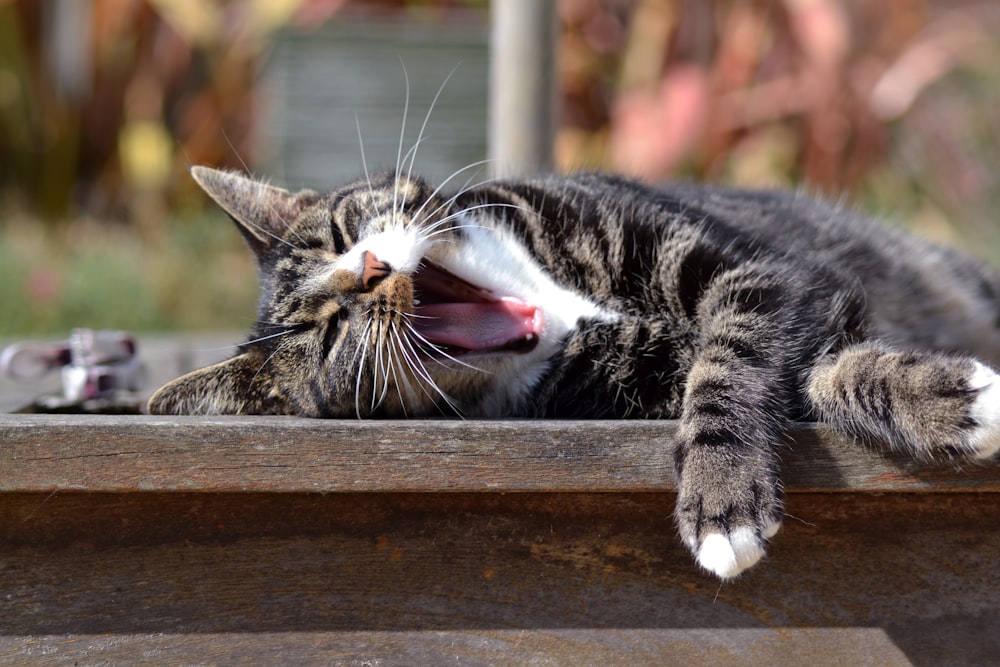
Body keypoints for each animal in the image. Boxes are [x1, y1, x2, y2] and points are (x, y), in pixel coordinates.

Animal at [146, 166, 1000, 580]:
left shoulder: (768, 274)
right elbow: (795, 373)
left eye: (339, 229)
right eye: (327, 336)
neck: (553, 299)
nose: (371, 269)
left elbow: (737, 349)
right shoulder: (651, 372)